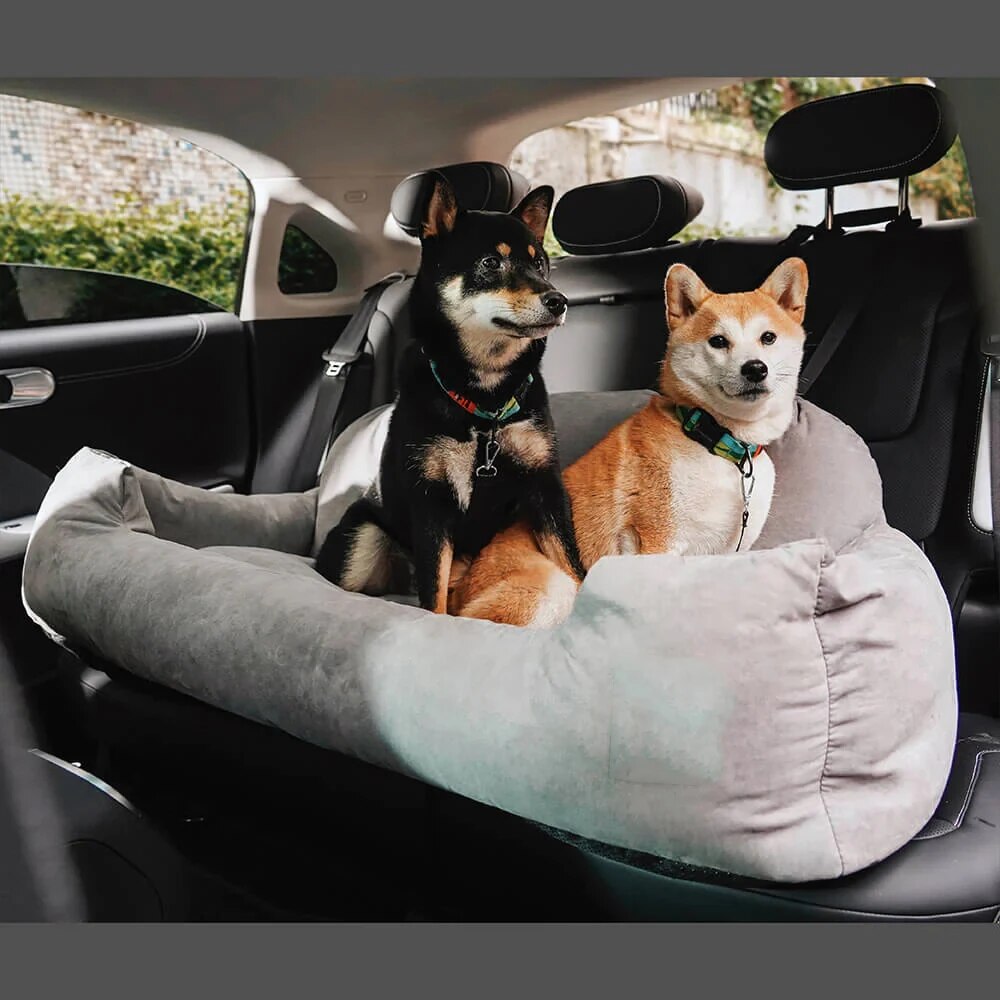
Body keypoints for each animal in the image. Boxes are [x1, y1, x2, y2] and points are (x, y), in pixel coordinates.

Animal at [314, 176, 584, 612]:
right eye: (491, 263)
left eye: (540, 263)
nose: (558, 301)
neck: (486, 401)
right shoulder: (431, 502)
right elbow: (433, 591)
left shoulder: (545, 486)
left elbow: (572, 562)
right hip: (363, 537)